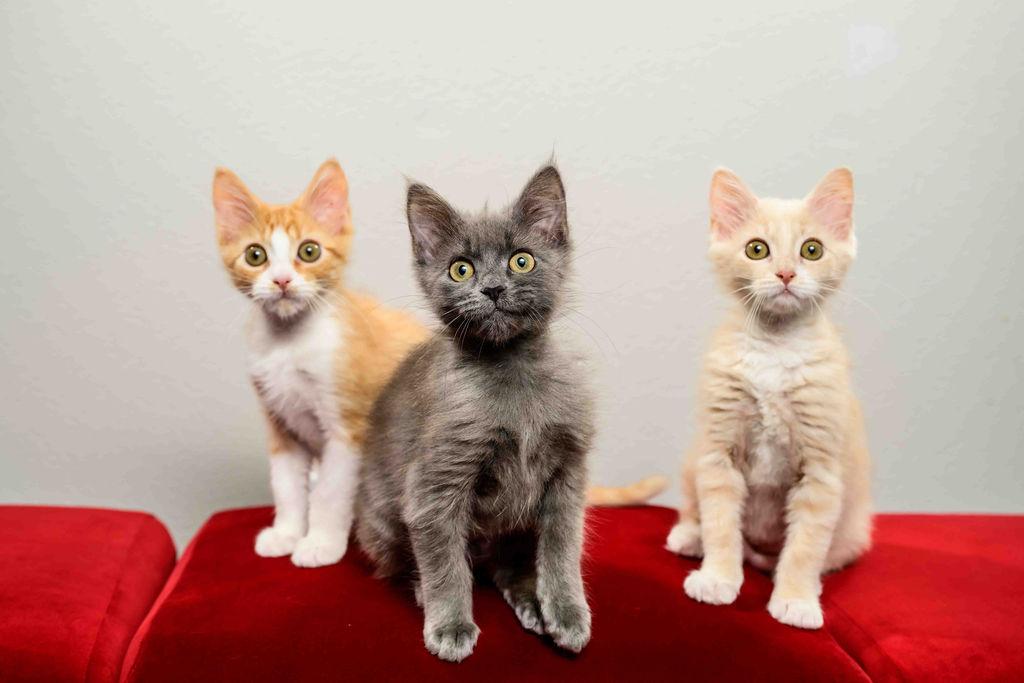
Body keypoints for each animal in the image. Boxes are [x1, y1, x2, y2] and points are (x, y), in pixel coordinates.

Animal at [212, 159, 428, 567]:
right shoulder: (280, 423)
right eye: (255, 255)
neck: (289, 343)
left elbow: (331, 491)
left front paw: (321, 543)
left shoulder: (349, 429)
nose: (282, 281)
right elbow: (285, 485)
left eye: (309, 251)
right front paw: (286, 533)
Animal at [355, 165, 594, 662]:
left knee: (508, 565)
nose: (493, 288)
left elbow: (562, 550)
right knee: (410, 563)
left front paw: (566, 612)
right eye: (460, 268)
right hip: (382, 519)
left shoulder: (568, 473)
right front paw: (450, 626)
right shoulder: (434, 483)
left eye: (521, 261)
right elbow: (444, 562)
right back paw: (423, 591)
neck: (513, 371)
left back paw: (530, 602)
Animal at [665, 168, 872, 630]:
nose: (785, 275)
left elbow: (806, 545)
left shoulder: (822, 468)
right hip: (692, 458)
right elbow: (721, 523)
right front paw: (717, 577)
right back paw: (689, 536)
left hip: (856, 528)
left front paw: (795, 599)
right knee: (694, 507)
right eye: (756, 249)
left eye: (812, 250)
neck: (776, 349)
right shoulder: (717, 451)